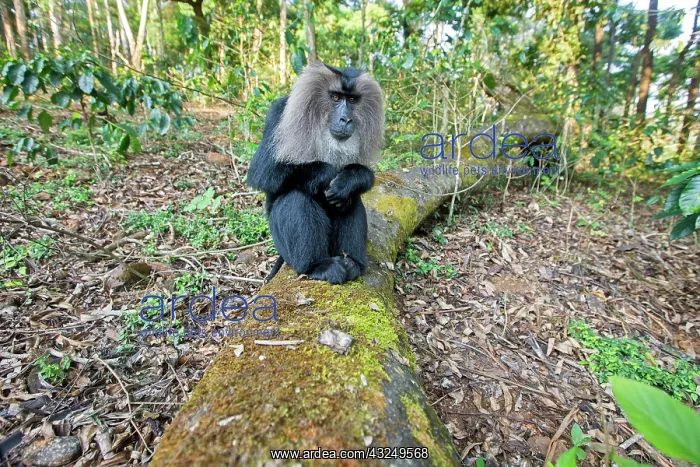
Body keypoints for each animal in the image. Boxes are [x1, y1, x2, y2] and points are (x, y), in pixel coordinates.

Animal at [247, 62, 384, 285]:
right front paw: (325, 172)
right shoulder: (278, 114)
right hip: (283, 246)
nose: (346, 119)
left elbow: (362, 177)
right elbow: (263, 172)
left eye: (352, 100)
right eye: (335, 97)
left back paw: (352, 262)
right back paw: (317, 266)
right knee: (296, 197)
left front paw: (349, 179)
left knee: (349, 200)